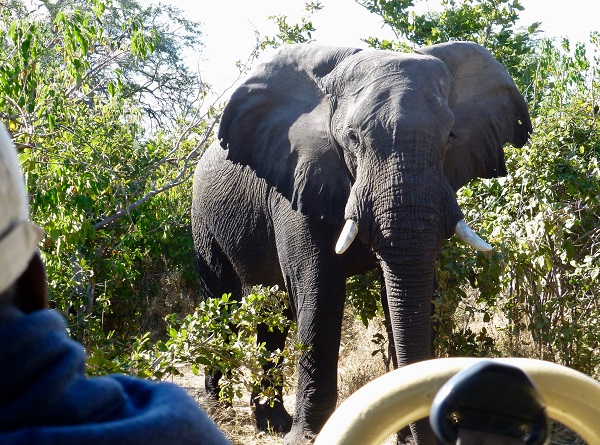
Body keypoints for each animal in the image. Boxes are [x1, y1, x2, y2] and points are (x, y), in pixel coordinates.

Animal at [191, 40, 528, 442]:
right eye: (353, 137)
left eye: (450, 137)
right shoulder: (301, 177)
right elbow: (319, 292)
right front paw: (309, 437)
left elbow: (406, 292)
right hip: (202, 218)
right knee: (223, 301)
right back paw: (219, 411)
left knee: (274, 313)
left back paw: (271, 423)